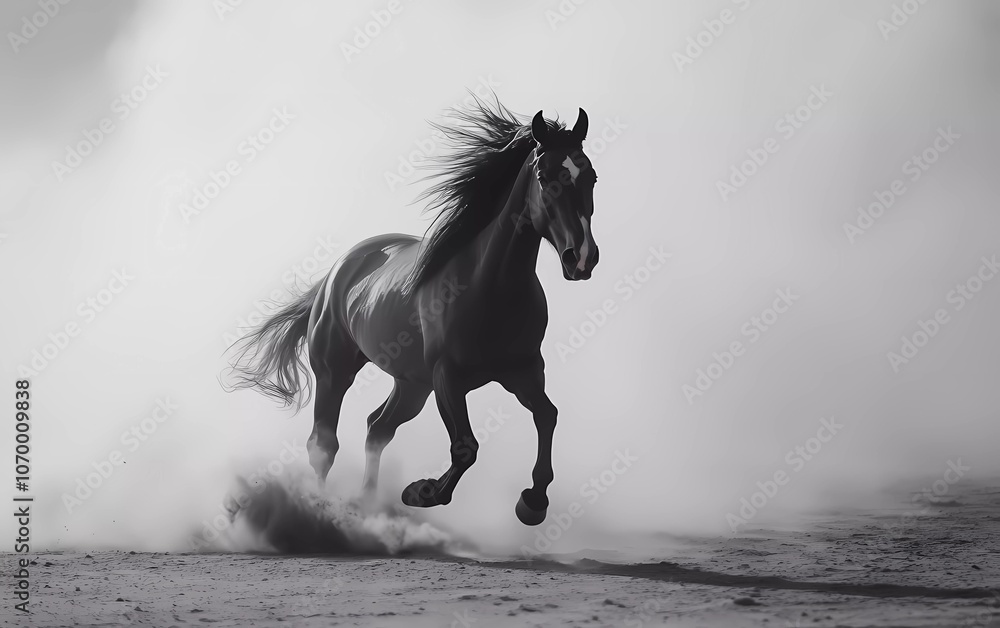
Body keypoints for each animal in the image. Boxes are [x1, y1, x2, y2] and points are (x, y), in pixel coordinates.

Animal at [227, 97, 599, 525]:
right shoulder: (448, 377)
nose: (582, 258)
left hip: (412, 385)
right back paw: (319, 508)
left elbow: (547, 416)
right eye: (544, 174)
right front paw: (422, 491)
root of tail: (337, 271)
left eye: (590, 175)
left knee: (377, 429)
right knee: (323, 444)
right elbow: (466, 447)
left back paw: (367, 504)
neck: (489, 289)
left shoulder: (524, 372)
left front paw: (533, 502)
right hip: (336, 370)